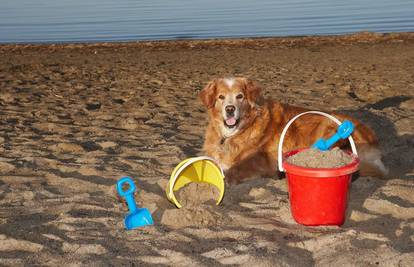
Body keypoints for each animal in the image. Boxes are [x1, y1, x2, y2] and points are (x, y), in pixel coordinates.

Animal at [201, 77, 388, 184]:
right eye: (221, 97)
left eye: (240, 96)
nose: (230, 109)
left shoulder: (260, 161)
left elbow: (233, 171)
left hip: (328, 126)